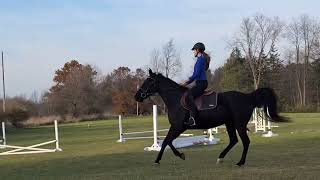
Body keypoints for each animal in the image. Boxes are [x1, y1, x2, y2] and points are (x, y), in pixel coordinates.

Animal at [134, 69, 288, 166]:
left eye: (149, 82)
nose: (137, 97)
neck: (176, 99)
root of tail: (247, 97)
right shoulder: (176, 127)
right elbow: (168, 141)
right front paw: (175, 156)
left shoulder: (178, 127)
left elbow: (167, 142)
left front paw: (162, 159)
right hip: (230, 123)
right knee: (234, 140)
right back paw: (220, 158)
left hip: (239, 124)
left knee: (245, 142)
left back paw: (240, 162)